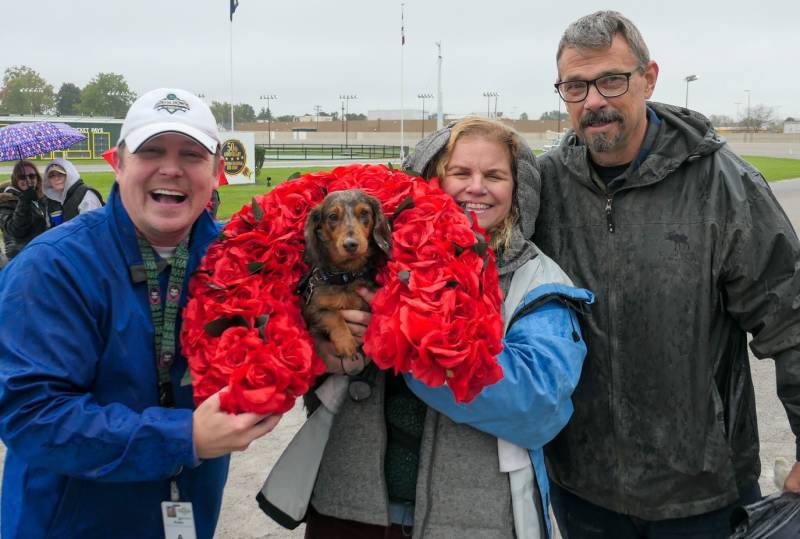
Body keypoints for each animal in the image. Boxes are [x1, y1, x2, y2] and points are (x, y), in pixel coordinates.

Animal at [298, 189, 392, 362]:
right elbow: (332, 315)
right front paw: (346, 343)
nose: (350, 244)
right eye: (333, 216)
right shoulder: (312, 309)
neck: (346, 275)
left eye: (364, 213)